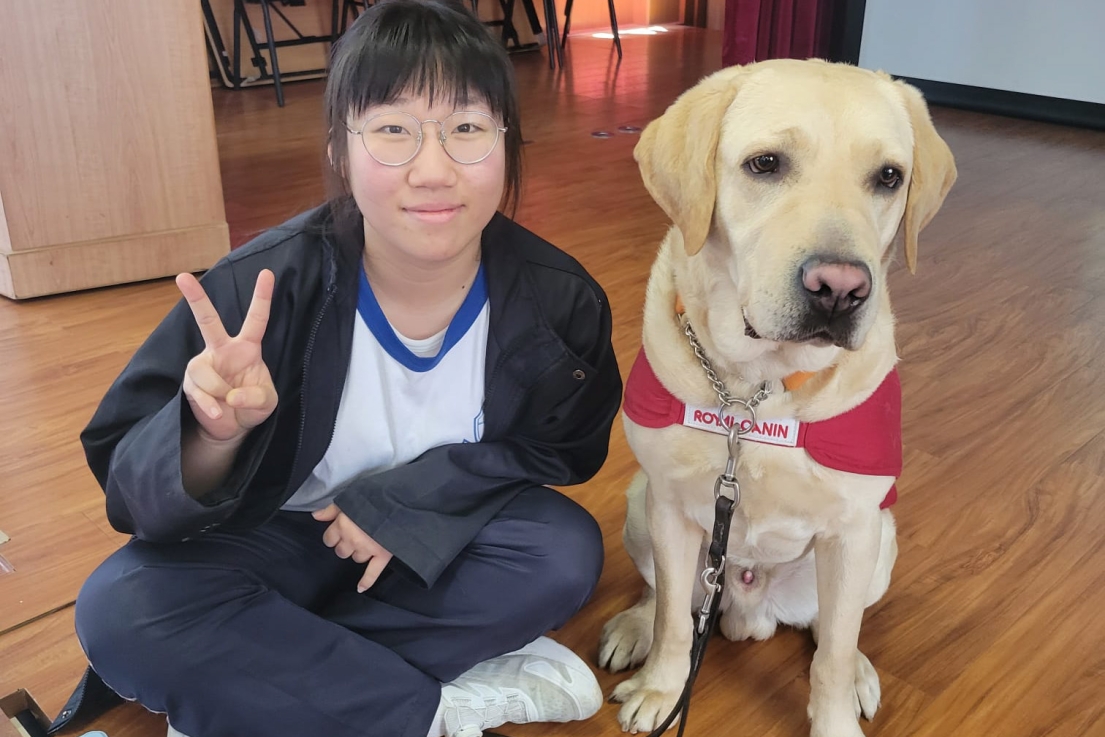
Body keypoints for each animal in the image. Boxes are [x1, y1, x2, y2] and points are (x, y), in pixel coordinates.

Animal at [598, 59, 956, 737]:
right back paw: (634, 626)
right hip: (640, 504)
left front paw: (836, 719)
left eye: (888, 177)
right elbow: (673, 622)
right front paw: (662, 689)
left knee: (834, 628)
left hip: (881, 541)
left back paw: (862, 669)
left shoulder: (852, 531)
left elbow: (833, 653)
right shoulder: (673, 509)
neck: (754, 395)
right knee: (665, 598)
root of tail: (746, 606)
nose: (840, 290)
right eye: (765, 164)